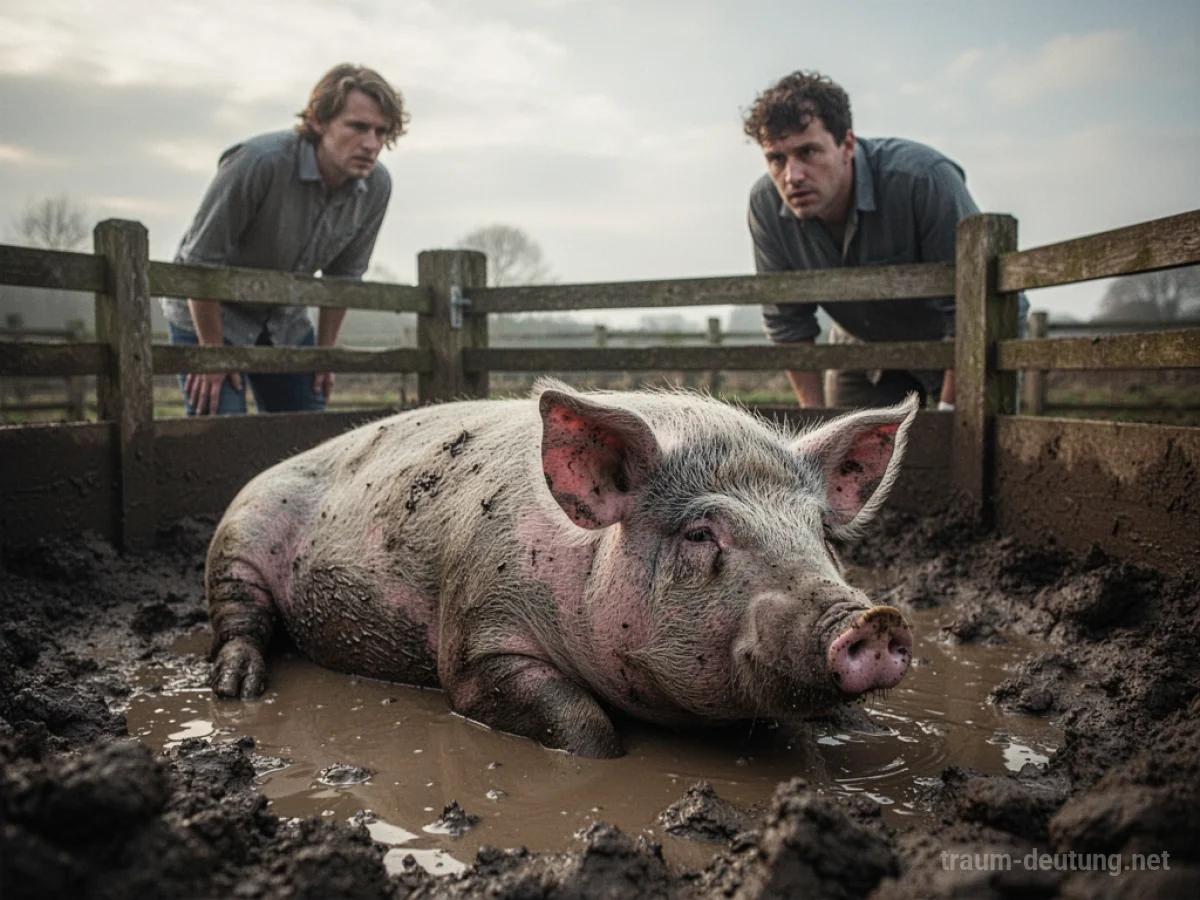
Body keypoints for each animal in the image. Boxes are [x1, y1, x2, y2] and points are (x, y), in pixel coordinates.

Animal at [207, 380, 917, 758]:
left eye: (820, 531)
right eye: (700, 533)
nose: (874, 619)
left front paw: (865, 731)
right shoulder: (477, 640)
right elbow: (585, 729)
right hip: (237, 538)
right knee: (240, 619)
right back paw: (235, 688)